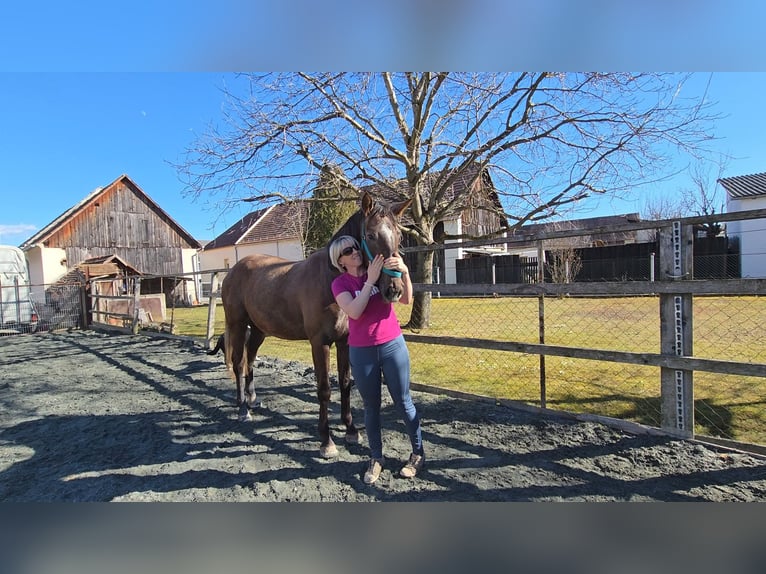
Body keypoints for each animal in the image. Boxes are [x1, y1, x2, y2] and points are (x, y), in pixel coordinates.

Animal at [220, 191, 412, 458]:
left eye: (399, 236)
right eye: (371, 235)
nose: (393, 289)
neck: (331, 279)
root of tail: (233, 270)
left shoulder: (343, 342)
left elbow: (345, 383)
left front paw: (351, 430)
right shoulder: (319, 344)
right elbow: (324, 389)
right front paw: (326, 441)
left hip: (259, 330)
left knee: (249, 360)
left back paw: (252, 400)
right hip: (238, 325)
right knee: (238, 363)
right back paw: (242, 410)